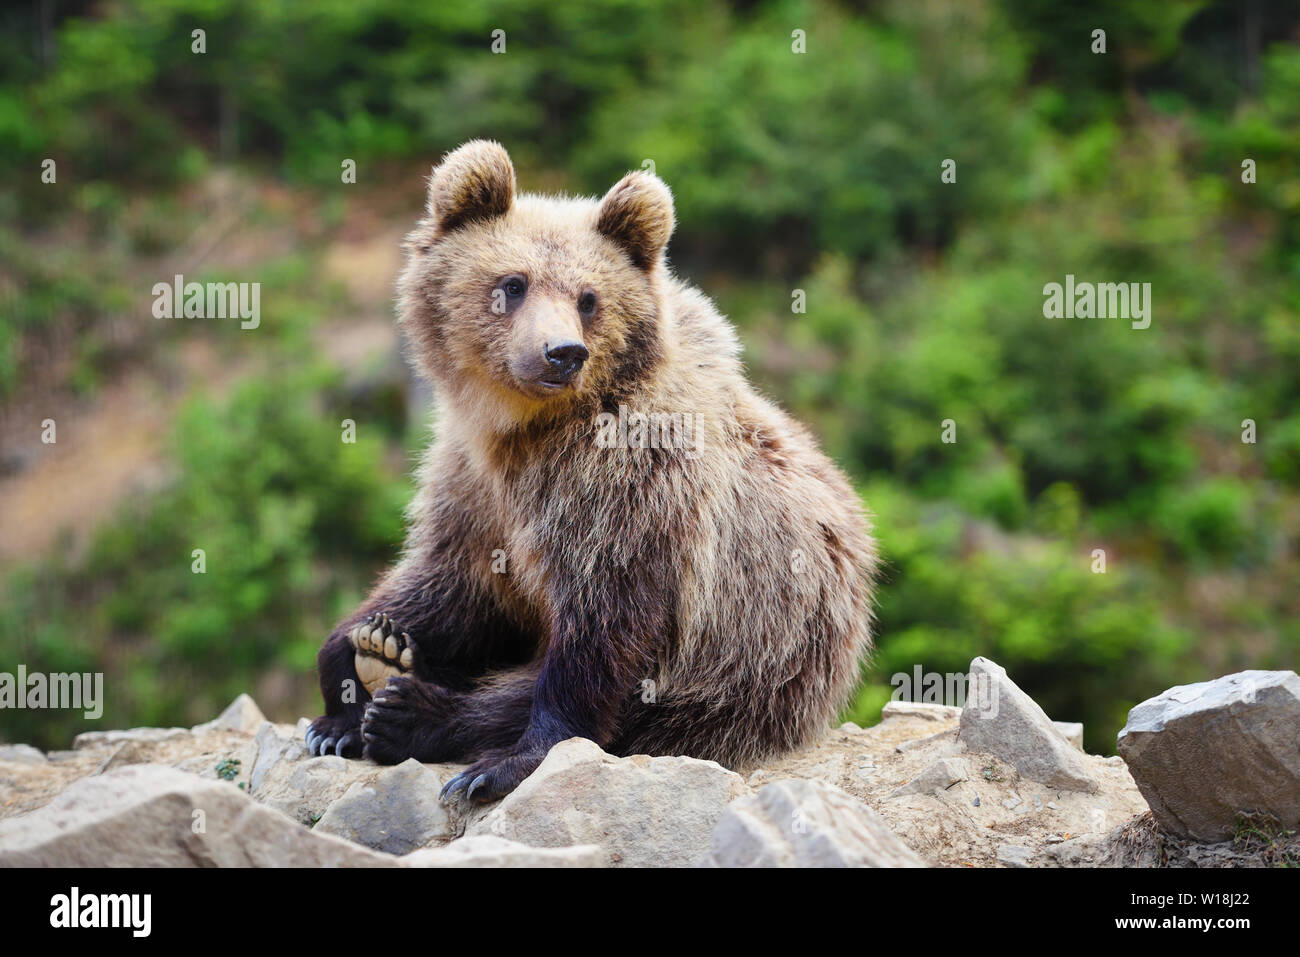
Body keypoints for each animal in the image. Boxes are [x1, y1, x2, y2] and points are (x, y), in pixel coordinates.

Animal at [306, 140, 877, 802]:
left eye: (588, 298)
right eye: (513, 283)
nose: (562, 352)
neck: (524, 430)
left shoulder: (629, 487)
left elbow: (604, 624)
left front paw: (503, 763)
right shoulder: (471, 485)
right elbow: (455, 581)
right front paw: (357, 657)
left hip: (752, 669)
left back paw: (411, 712)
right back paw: (381, 668)